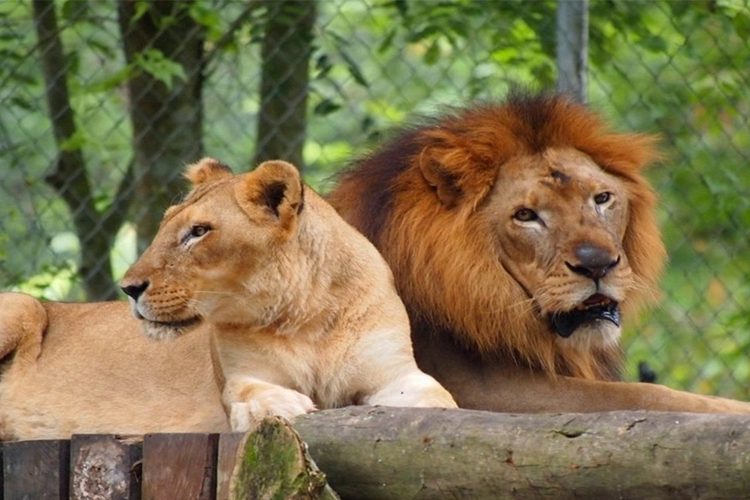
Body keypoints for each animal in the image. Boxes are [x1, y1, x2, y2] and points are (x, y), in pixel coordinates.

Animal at [119, 158, 456, 431]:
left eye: (199, 231)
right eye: (164, 225)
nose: (129, 288)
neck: (307, 316)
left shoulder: (394, 371)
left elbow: (437, 395)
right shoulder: (244, 373)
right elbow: (248, 392)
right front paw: (271, 406)